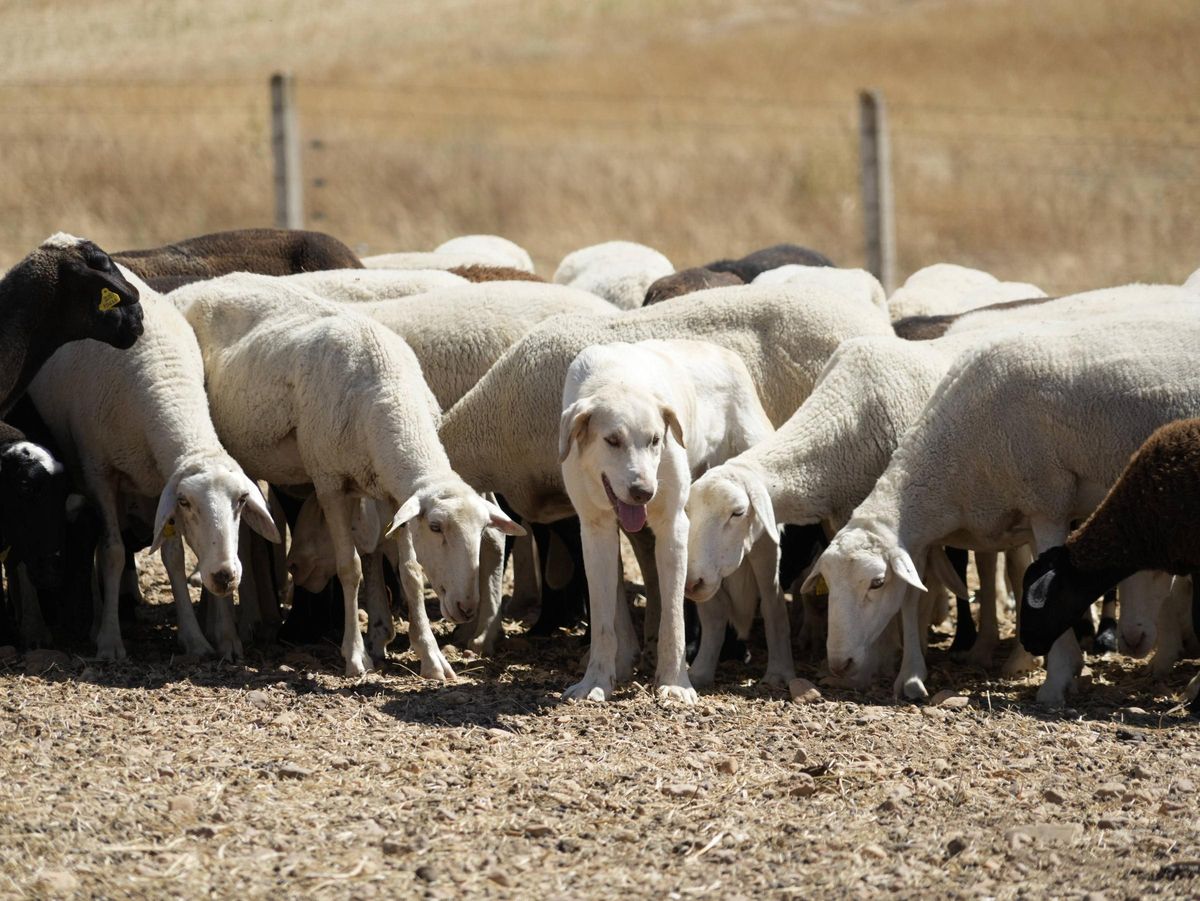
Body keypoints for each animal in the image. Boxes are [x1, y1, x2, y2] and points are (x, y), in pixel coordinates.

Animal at [27, 268, 281, 662]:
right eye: (187, 502)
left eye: (241, 501)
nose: (225, 576)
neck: (164, 379)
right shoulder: (99, 472)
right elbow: (113, 552)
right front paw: (110, 642)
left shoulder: (162, 478)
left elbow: (173, 555)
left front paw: (204, 640)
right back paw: (94, 624)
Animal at [174, 274, 526, 677]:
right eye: (436, 527)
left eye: (483, 529)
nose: (466, 607)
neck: (388, 392)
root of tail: (210, 281)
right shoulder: (329, 483)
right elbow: (350, 566)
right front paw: (356, 656)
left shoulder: (392, 493)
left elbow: (410, 572)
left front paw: (431, 657)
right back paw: (225, 632)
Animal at [559, 340, 786, 702]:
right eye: (612, 440)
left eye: (655, 440)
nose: (643, 492)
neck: (618, 376)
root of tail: (723, 352)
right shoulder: (595, 530)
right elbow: (604, 618)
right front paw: (596, 681)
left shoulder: (673, 528)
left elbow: (673, 618)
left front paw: (675, 684)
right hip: (691, 556)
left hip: (754, 534)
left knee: (774, 602)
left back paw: (778, 672)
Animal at [804, 312, 1200, 706]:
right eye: (828, 582)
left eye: (877, 582)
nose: (839, 664)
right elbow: (920, 596)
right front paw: (910, 677)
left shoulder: (1048, 502)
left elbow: (1048, 582)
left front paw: (1056, 680)